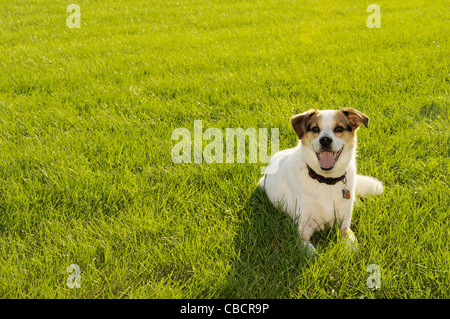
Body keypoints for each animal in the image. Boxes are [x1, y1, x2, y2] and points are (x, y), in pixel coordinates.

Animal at [260, 109, 384, 256]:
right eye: (315, 129)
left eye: (338, 128)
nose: (325, 140)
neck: (326, 181)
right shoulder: (302, 231)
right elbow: (314, 255)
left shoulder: (344, 226)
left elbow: (352, 246)